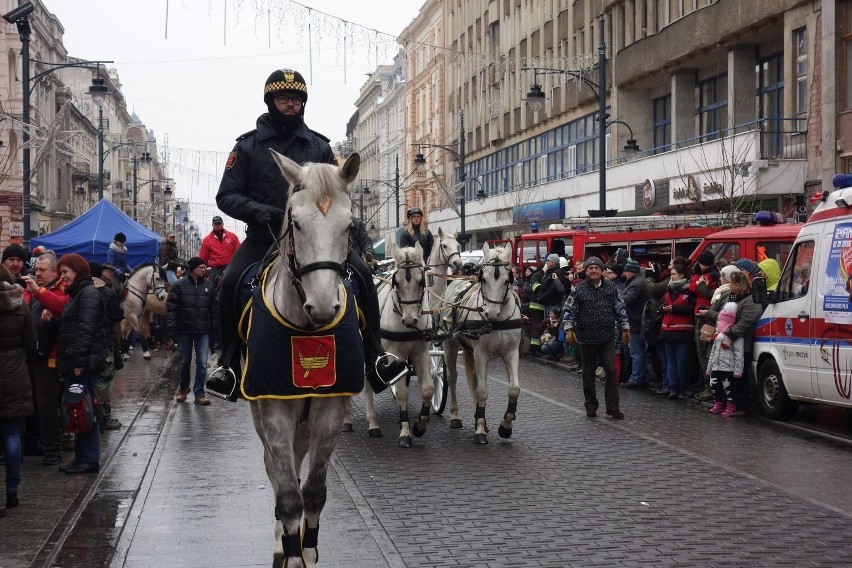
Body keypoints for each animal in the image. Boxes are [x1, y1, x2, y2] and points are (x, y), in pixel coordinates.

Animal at [236, 149, 362, 564]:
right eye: (295, 222)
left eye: (349, 225)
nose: (322, 306)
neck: (306, 332)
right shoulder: (274, 412)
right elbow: (289, 495)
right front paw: (291, 552)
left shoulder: (331, 413)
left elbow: (314, 492)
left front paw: (308, 549)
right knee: (279, 475)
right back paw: (281, 539)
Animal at [440, 242, 524, 446]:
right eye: (483, 278)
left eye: (507, 279)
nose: (490, 313)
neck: (497, 322)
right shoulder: (481, 354)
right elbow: (483, 391)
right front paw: (479, 430)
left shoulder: (511, 353)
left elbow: (514, 389)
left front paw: (505, 426)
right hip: (451, 345)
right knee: (452, 378)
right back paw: (456, 416)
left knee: (474, 378)